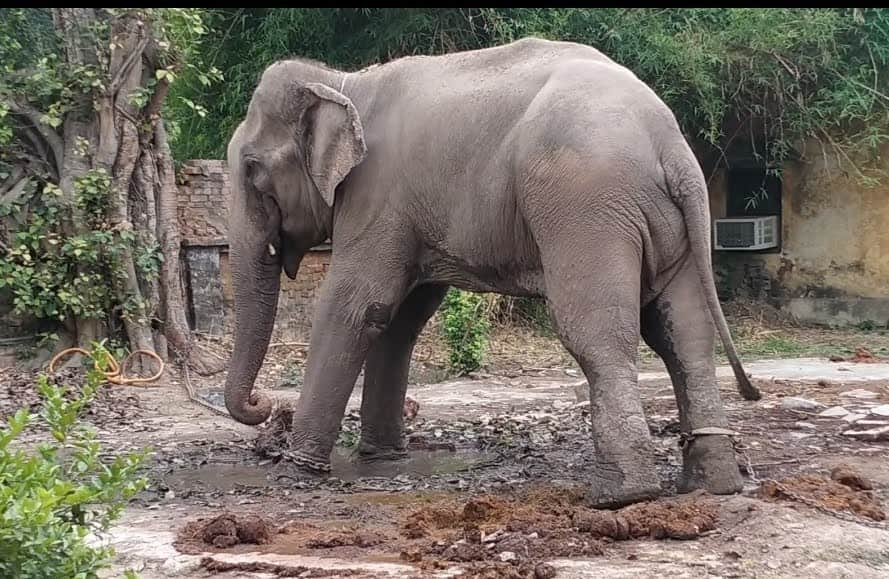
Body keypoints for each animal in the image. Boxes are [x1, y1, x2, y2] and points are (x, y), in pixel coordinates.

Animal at [223, 37, 761, 508]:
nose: (262, 404)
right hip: (668, 227)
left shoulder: (377, 196)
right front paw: (383, 460)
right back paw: (712, 485)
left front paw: (295, 472)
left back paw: (621, 495)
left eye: (252, 170)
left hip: (586, 208)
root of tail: (670, 144)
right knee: (685, 336)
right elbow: (401, 317)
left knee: (598, 334)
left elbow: (355, 306)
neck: (345, 82)